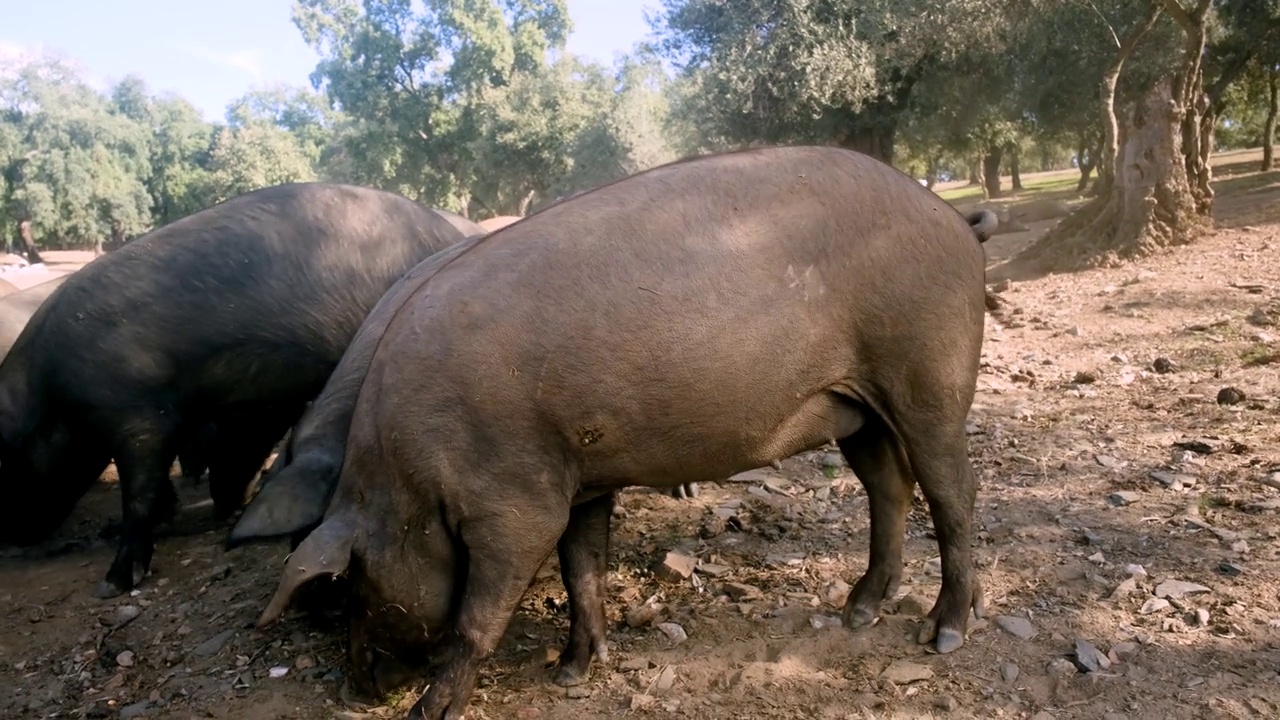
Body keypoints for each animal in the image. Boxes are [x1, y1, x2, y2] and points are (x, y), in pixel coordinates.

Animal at [0, 181, 471, 597]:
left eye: (8, 464)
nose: (14, 539)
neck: (52, 394)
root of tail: (449, 234)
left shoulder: (140, 415)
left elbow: (139, 494)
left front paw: (111, 584)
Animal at [241, 147, 998, 717]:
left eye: (349, 585)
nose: (357, 691)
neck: (407, 482)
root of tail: (953, 219)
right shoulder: (576, 478)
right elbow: (583, 569)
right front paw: (573, 673)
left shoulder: (513, 506)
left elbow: (477, 618)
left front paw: (433, 711)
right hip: (856, 407)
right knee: (889, 487)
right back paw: (858, 612)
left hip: (930, 374)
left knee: (954, 493)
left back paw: (944, 633)